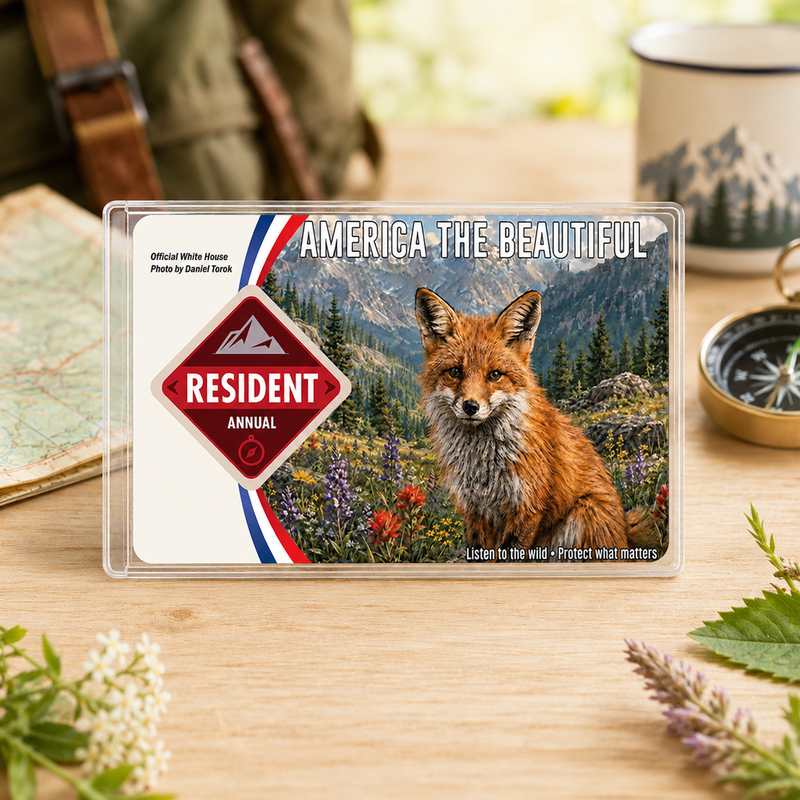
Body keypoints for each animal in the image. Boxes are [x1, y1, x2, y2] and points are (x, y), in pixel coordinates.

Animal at [415, 287, 655, 558]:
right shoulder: (475, 510)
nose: (471, 407)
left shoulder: (527, 507)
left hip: (584, 513)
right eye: (455, 372)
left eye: (494, 375)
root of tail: (625, 535)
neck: (483, 465)